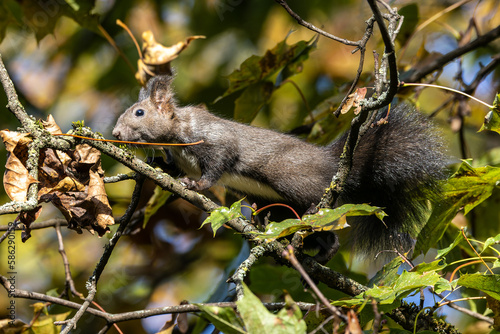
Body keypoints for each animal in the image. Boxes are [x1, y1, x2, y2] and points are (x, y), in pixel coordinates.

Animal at [112, 75, 446, 260]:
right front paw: (158, 165)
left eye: (139, 112)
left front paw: (197, 185)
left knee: (324, 212)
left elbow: (217, 167)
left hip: (292, 180)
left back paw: (319, 229)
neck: (176, 136)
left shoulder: (216, 141)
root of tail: (334, 164)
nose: (115, 133)